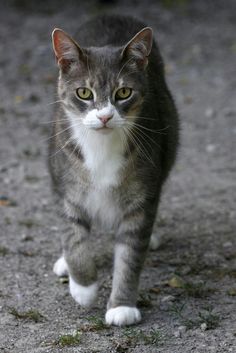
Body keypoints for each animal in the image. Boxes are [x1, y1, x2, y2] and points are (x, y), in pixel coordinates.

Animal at [49, 15, 179, 326]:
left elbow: (130, 255)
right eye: (84, 93)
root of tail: (112, 16)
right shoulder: (66, 186)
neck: (102, 146)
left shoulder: (142, 197)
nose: (105, 116)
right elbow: (74, 236)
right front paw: (83, 288)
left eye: (123, 92)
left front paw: (122, 307)